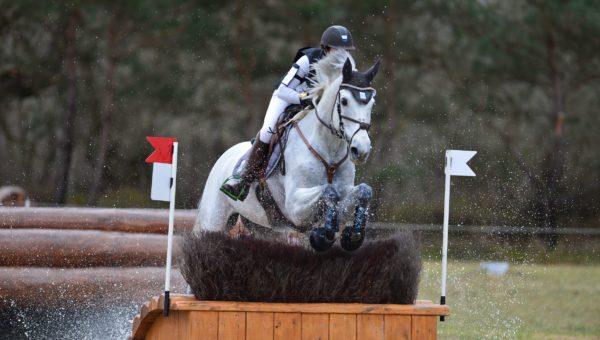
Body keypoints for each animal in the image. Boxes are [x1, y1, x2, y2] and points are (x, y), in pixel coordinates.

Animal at [192, 50, 380, 252]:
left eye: (372, 104)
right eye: (344, 101)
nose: (361, 149)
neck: (328, 150)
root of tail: (223, 157)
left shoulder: (344, 197)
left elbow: (363, 191)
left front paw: (353, 236)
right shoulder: (294, 207)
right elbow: (329, 191)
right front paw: (323, 236)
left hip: (259, 226)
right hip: (213, 221)